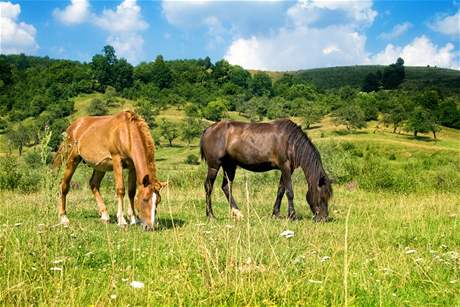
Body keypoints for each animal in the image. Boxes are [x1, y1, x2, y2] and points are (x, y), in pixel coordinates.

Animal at [199, 119, 332, 223]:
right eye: (322, 195)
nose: (323, 218)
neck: (291, 141)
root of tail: (208, 130)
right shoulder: (285, 167)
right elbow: (289, 192)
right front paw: (292, 216)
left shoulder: (287, 170)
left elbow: (280, 191)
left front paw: (276, 214)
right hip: (214, 166)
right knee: (208, 186)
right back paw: (211, 215)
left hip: (230, 166)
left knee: (226, 187)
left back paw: (238, 213)